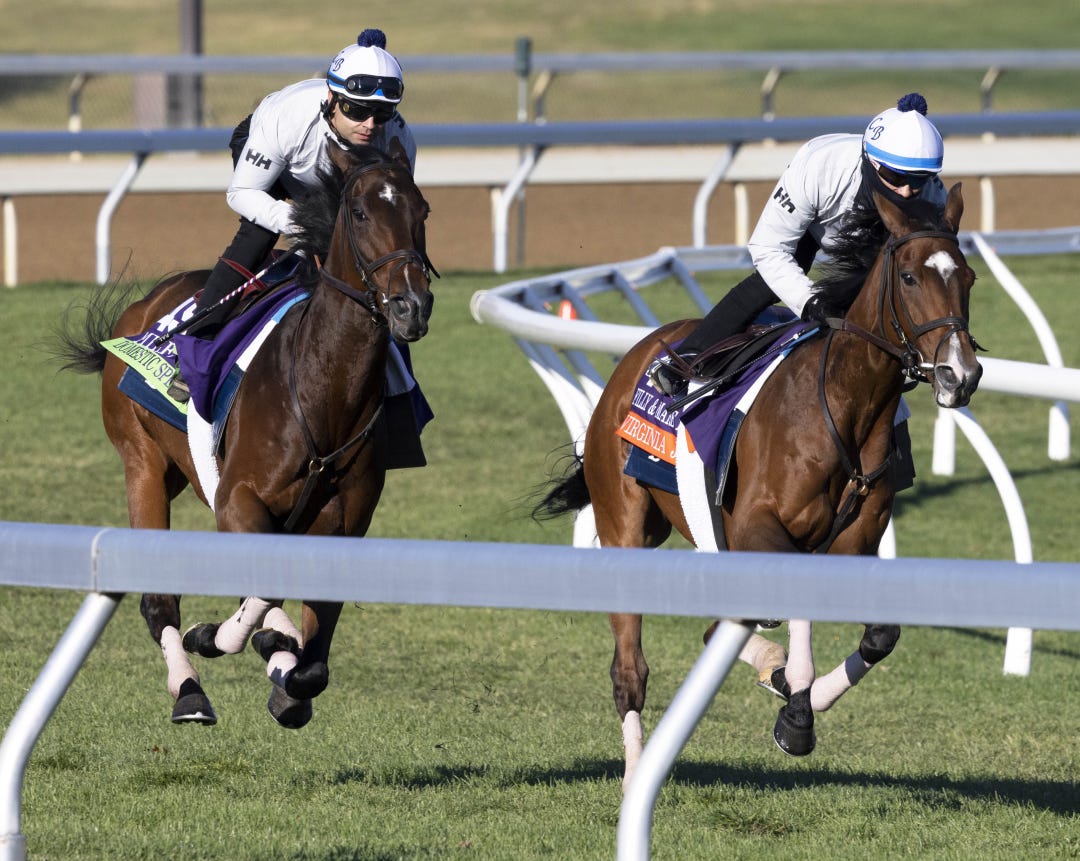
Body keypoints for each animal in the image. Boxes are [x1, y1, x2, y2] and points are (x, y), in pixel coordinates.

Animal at [55, 140, 436, 728]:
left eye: (423, 211)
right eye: (360, 213)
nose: (410, 306)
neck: (321, 391)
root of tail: (142, 308)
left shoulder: (346, 522)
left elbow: (310, 663)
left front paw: (285, 668)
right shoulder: (237, 499)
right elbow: (256, 593)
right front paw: (219, 636)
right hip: (142, 461)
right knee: (159, 602)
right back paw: (190, 689)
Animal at [535, 184, 981, 787]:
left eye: (968, 277)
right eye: (910, 277)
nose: (961, 374)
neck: (843, 404)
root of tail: (641, 353)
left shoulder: (856, 540)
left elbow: (882, 633)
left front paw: (804, 692)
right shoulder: (756, 526)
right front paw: (796, 713)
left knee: (715, 628)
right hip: (625, 523)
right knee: (629, 670)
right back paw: (634, 771)